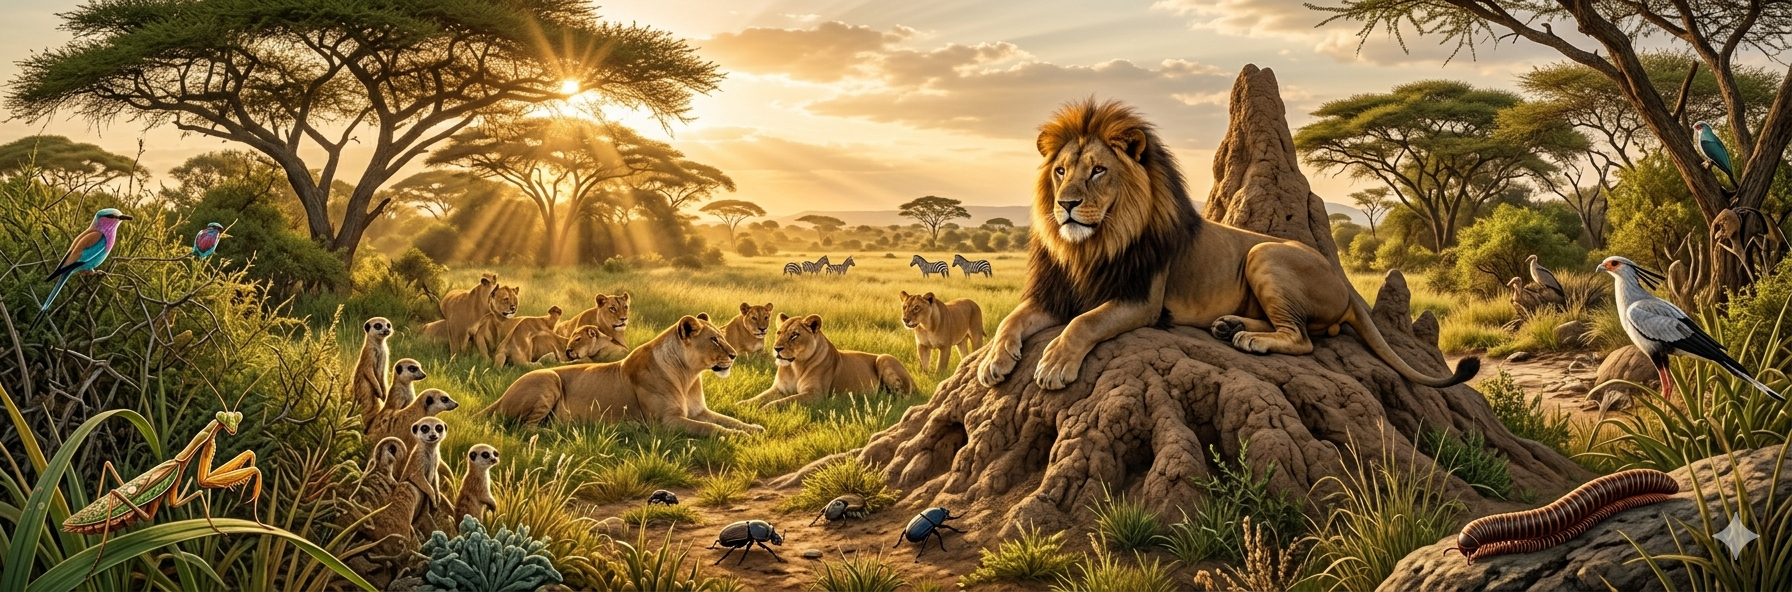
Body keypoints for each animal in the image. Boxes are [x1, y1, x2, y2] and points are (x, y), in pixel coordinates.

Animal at [480, 314, 763, 436]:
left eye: (722, 336)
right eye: (714, 340)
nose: (734, 355)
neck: (688, 376)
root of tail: (501, 395)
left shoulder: (699, 411)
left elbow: (727, 419)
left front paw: (754, 428)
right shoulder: (666, 422)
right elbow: (711, 428)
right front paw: (740, 437)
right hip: (549, 378)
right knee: (526, 428)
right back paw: (562, 430)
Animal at [741, 313, 915, 407]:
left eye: (794, 335)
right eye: (779, 333)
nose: (777, 348)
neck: (795, 366)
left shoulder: (815, 394)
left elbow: (784, 401)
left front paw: (766, 408)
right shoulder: (779, 389)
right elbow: (758, 398)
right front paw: (742, 404)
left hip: (884, 358)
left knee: (905, 398)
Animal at [976, 99, 1478, 391]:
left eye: (1098, 170)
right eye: (1060, 171)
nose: (1065, 204)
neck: (1089, 246)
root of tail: (1344, 280)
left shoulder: (1140, 300)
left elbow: (1085, 322)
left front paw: (1054, 363)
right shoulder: (1054, 294)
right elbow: (1010, 320)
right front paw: (993, 361)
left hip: (1263, 253)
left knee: (1303, 339)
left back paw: (1249, 340)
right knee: (1309, 330)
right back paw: (1229, 326)